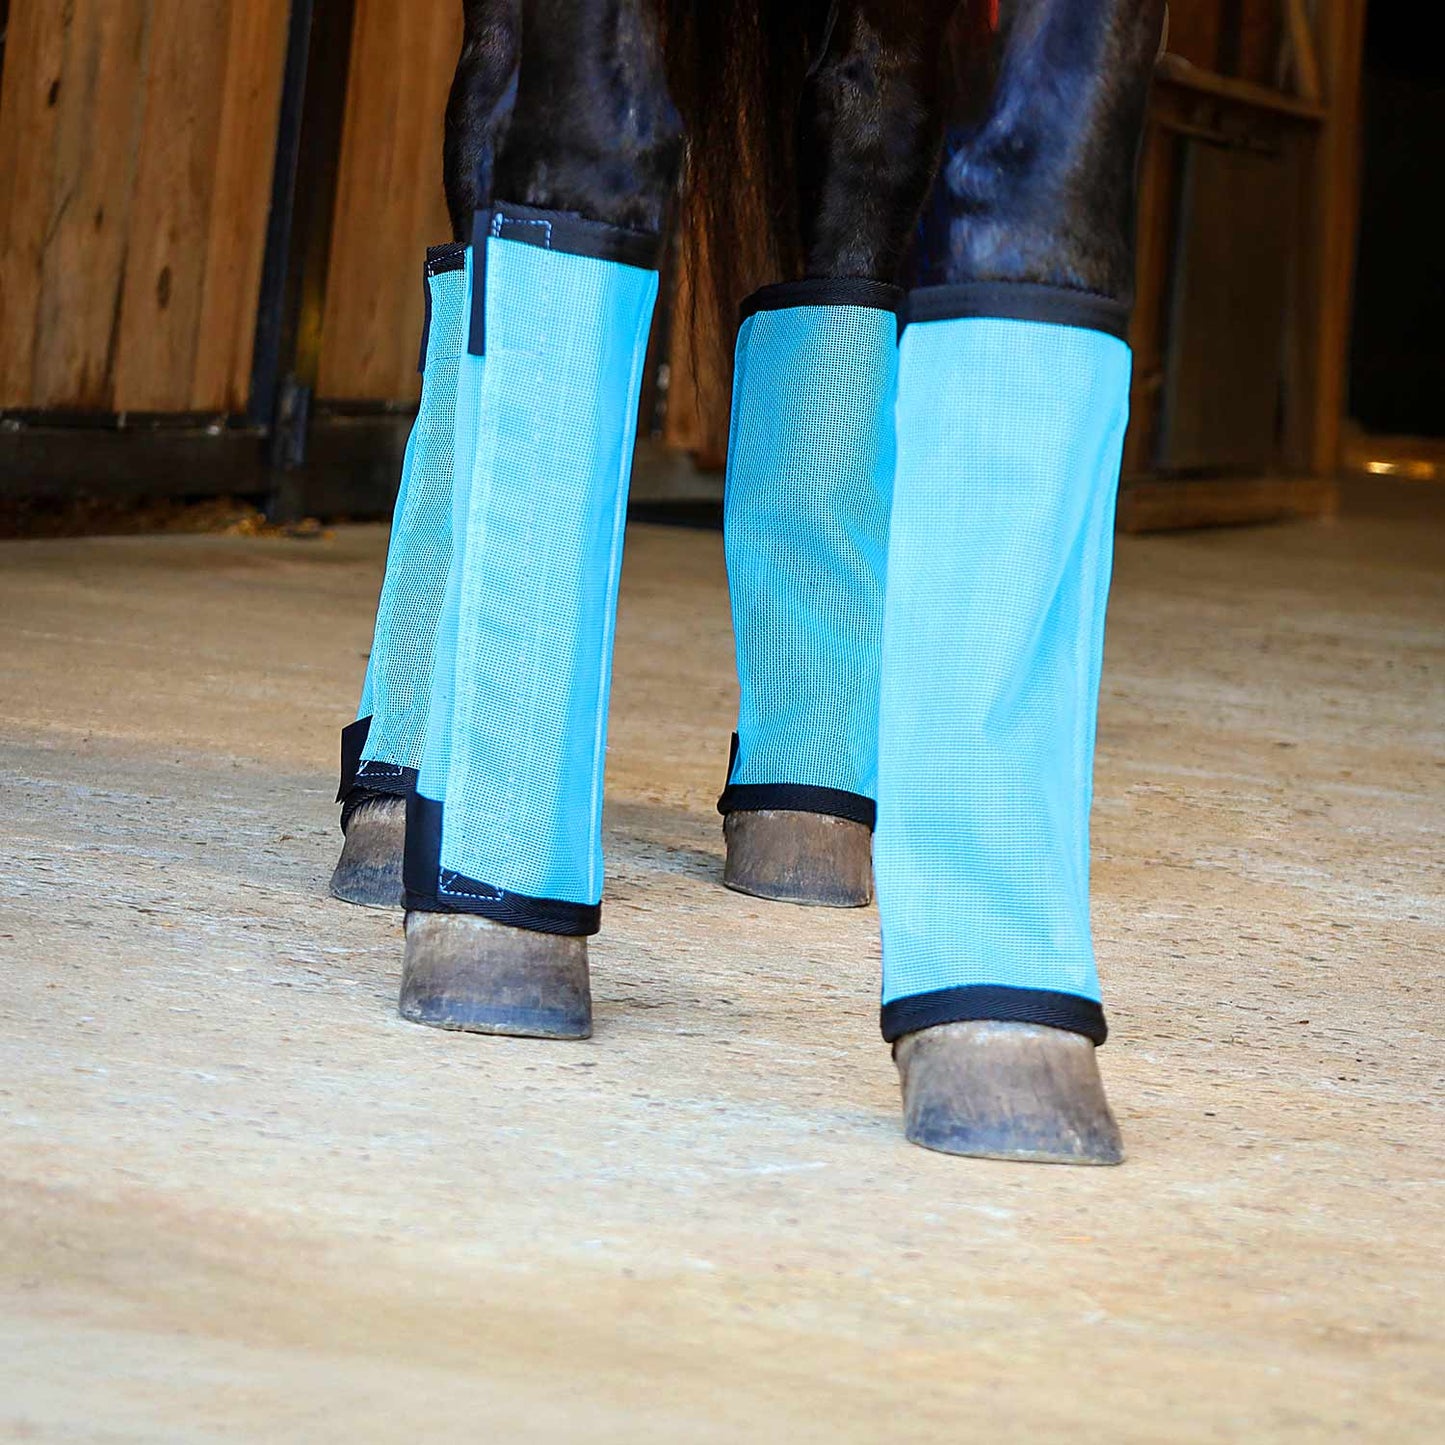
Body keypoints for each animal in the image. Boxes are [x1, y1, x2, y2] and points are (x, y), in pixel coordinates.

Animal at [329, 0, 1166, 1165]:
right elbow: (586, 149)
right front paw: (494, 934)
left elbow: (1034, 200)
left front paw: (1003, 1036)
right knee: (481, 170)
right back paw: (396, 796)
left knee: (863, 158)